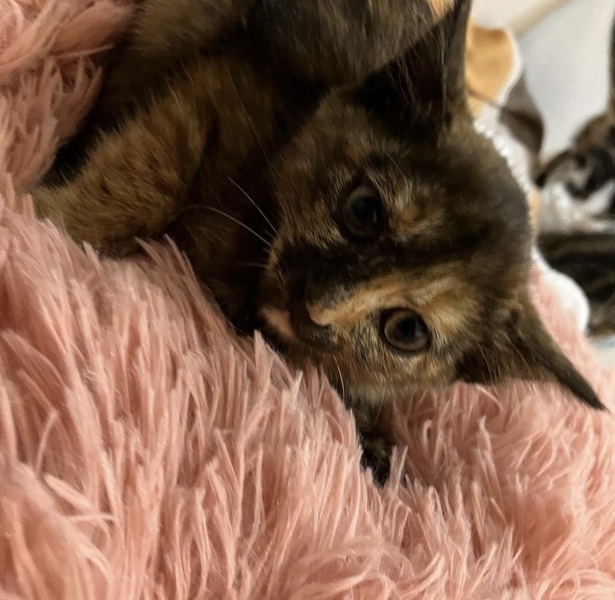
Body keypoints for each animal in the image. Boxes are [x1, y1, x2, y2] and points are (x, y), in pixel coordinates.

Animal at [34, 0, 605, 483]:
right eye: (363, 212)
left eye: (407, 331)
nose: (315, 303)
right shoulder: (222, 87)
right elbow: (146, 177)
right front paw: (49, 224)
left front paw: (374, 441)